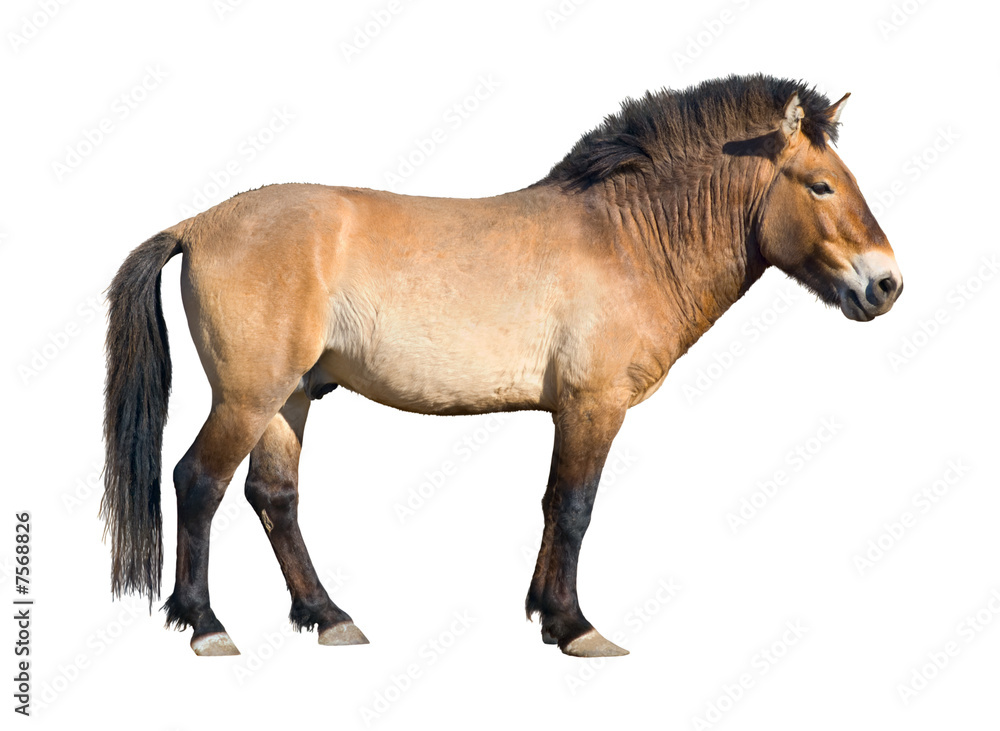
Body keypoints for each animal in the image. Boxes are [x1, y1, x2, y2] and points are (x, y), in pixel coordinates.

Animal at [102, 74, 902, 657]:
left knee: (274, 497)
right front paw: (575, 627)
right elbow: (574, 508)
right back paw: (207, 626)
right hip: (247, 396)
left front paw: (547, 616)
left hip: (288, 398)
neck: (626, 238)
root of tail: (198, 224)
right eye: (821, 184)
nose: (886, 284)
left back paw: (329, 617)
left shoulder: (573, 411)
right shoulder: (591, 406)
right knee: (198, 482)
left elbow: (554, 507)